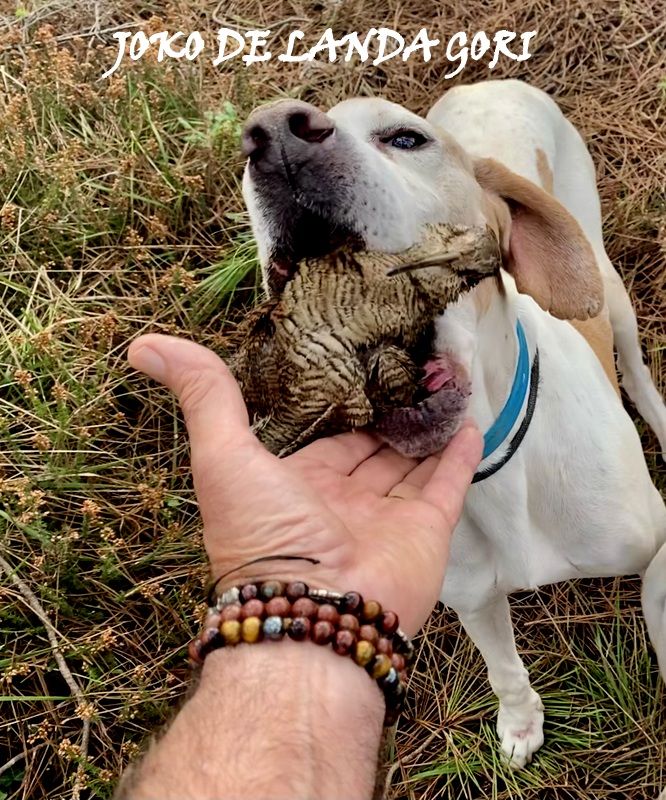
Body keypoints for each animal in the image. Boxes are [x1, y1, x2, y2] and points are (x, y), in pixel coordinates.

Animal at [241, 79, 664, 768]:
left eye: (405, 138)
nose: (272, 135)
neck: (495, 469)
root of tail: (489, 82)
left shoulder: (655, 552)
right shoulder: (473, 598)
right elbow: (505, 670)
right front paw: (521, 723)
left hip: (609, 287)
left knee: (634, 363)